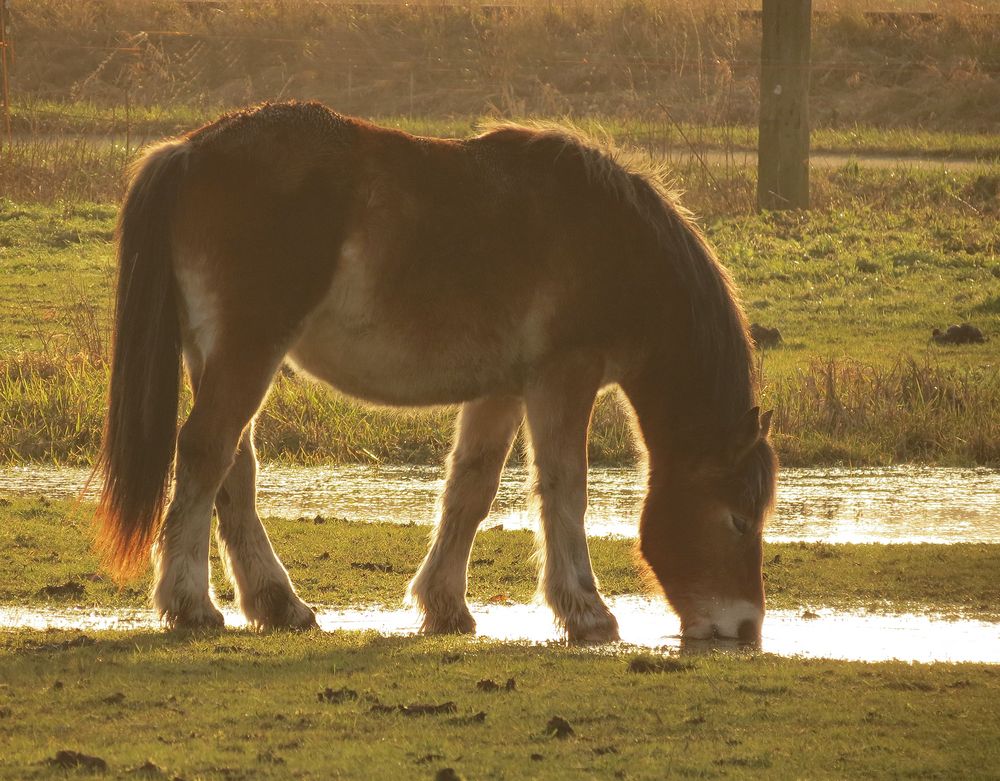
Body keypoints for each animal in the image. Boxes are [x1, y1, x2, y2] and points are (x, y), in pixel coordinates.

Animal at [95, 100, 780, 644]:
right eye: (738, 519)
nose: (745, 626)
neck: (612, 241)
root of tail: (189, 150)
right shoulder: (564, 376)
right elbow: (565, 488)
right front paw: (587, 613)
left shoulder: (502, 388)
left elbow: (470, 488)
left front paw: (445, 605)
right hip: (248, 349)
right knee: (206, 452)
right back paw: (190, 603)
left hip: (218, 354)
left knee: (233, 467)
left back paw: (278, 604)